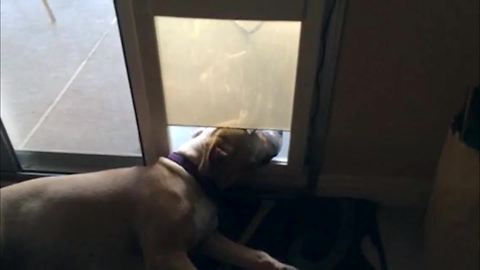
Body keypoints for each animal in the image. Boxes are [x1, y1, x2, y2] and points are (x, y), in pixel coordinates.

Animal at [0, 128, 298, 270]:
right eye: (252, 131)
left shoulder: (207, 238)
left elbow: (255, 255)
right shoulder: (165, 255)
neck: (190, 176)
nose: (281, 130)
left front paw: (283, 266)